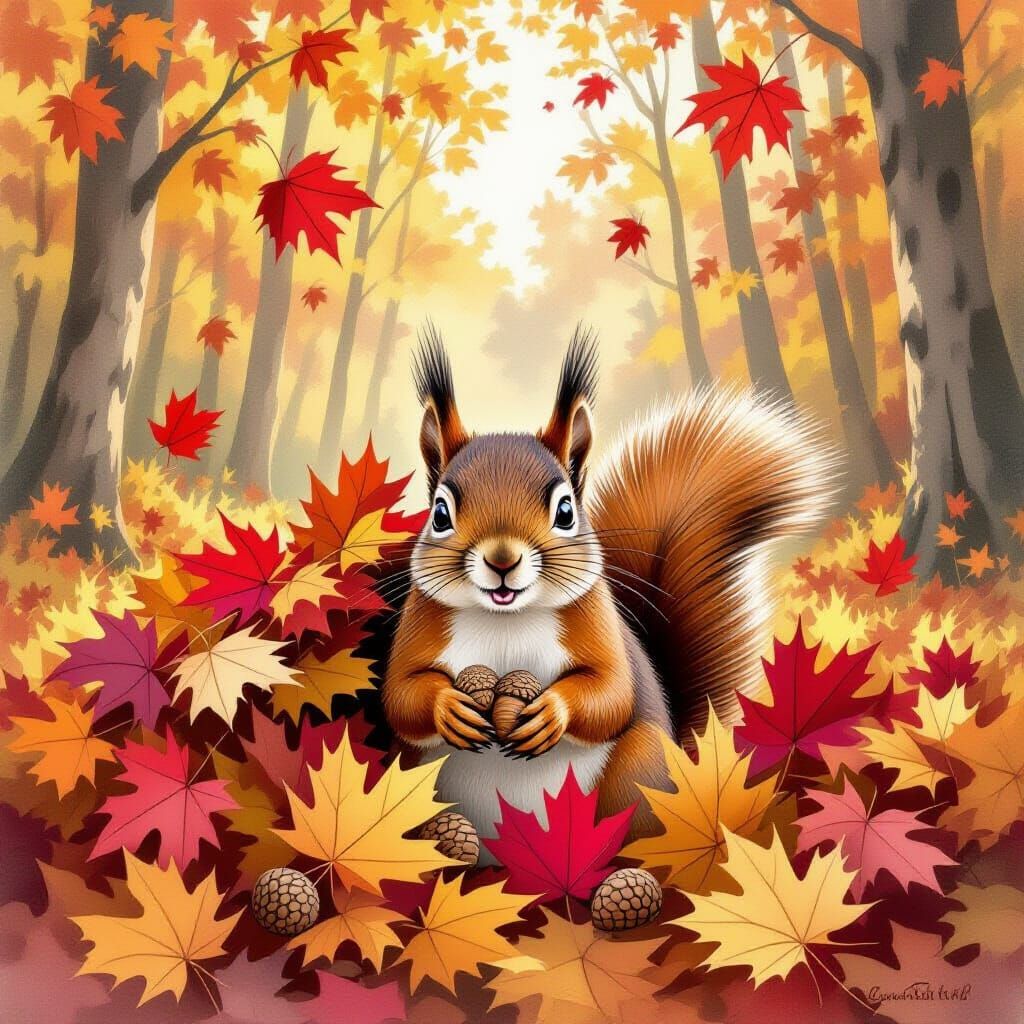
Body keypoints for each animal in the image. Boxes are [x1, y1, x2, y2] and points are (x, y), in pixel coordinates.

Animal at [382, 324, 834, 844]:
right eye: (439, 512)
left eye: (565, 510)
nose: (502, 560)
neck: (505, 617)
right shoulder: (420, 622)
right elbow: (402, 694)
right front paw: (449, 708)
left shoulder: (599, 622)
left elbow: (611, 692)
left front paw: (550, 714)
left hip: (640, 766)